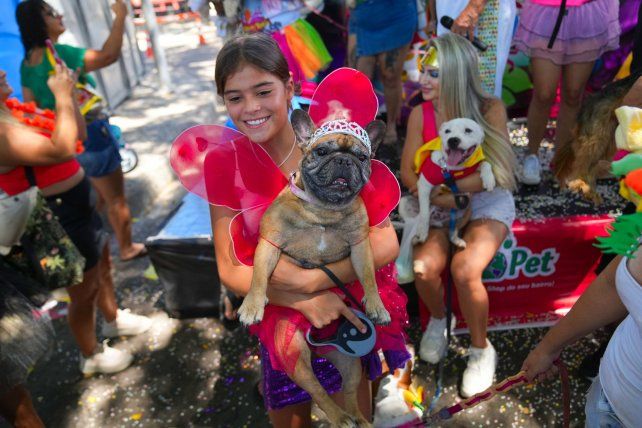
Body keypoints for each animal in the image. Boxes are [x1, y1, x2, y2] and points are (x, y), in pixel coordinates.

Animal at [239, 109, 390, 424]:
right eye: (321, 151)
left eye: (362, 157)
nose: (344, 160)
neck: (324, 209)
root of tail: (319, 345)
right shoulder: (269, 244)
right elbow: (258, 277)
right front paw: (252, 305)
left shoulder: (360, 246)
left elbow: (368, 276)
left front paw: (377, 305)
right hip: (293, 352)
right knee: (318, 392)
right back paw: (339, 418)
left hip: (351, 362)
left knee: (349, 395)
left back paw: (357, 420)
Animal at [410, 118, 496, 249]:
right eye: (447, 131)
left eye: (468, 130)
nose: (452, 140)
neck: (454, 168)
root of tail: (441, 222)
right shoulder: (424, 184)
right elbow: (424, 213)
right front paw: (422, 232)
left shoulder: (473, 168)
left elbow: (485, 163)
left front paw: (489, 179)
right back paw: (416, 239)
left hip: (465, 214)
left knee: (453, 230)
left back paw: (457, 241)